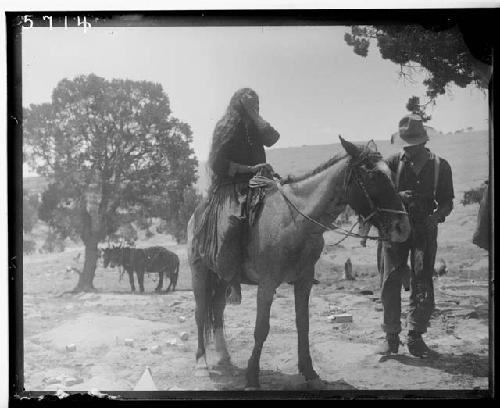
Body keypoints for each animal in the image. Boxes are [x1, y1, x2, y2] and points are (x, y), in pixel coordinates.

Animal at [188, 139, 410, 390]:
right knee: (200, 313)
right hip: (199, 273)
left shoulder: (304, 281)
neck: (295, 222)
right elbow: (261, 329)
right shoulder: (267, 284)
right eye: (373, 176)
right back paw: (201, 364)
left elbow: (303, 324)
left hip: (222, 277)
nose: (403, 227)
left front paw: (309, 371)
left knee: (217, 309)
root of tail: (195, 216)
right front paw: (252, 377)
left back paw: (224, 357)